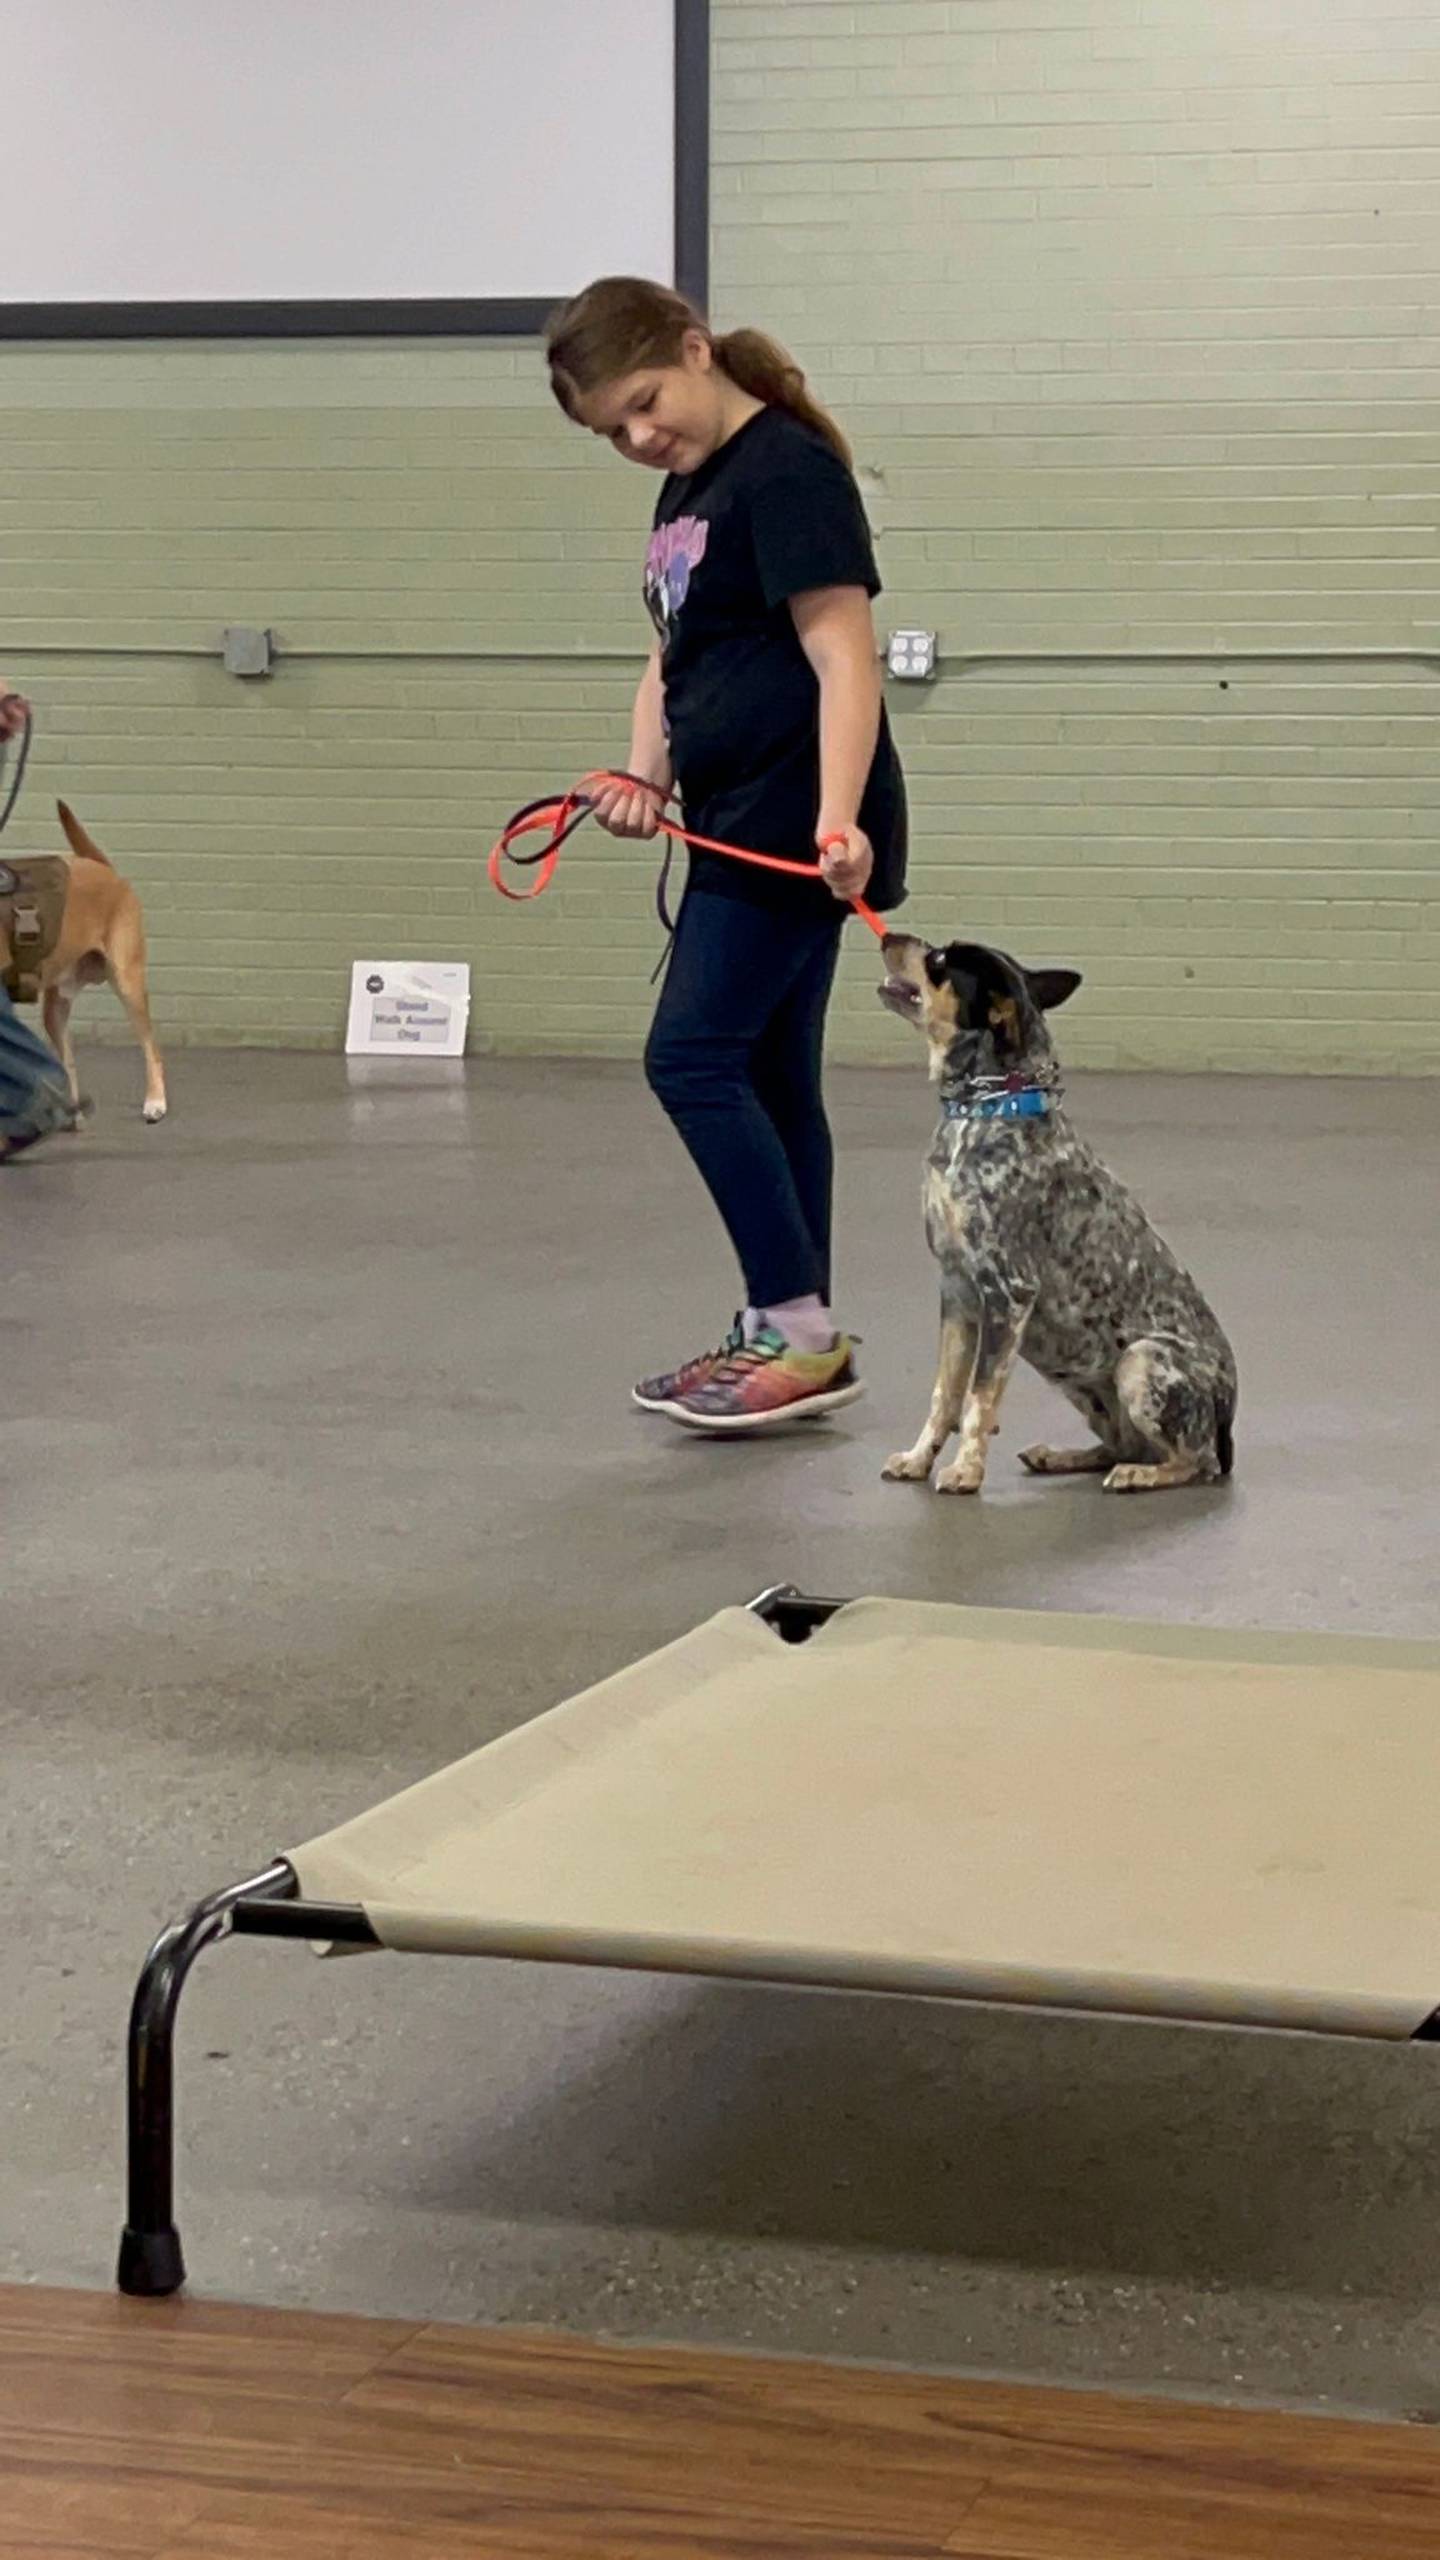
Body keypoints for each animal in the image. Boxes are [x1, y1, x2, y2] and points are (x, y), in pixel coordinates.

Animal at [15, 798, 166, 1121]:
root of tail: (100, 865)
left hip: (128, 982)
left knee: (152, 1048)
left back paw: (155, 1101)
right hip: (56, 1009)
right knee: (69, 1066)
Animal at [876, 942, 1235, 1495]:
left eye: (939, 960)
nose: (888, 934)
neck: (988, 1111)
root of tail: (1228, 1419)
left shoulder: (1008, 1293)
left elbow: (979, 1398)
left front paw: (965, 1470)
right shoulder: (956, 1292)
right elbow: (945, 1395)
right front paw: (919, 1459)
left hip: (1140, 1361)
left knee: (1195, 1461)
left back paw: (1139, 1475)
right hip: (1087, 1390)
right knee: (1121, 1444)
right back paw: (1061, 1456)